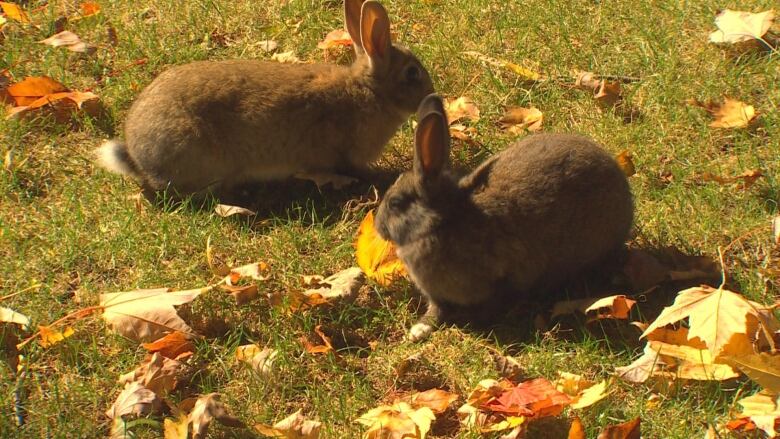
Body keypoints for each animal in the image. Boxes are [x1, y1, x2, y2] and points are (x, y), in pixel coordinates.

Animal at [374, 94, 636, 342]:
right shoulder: (437, 294)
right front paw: (419, 329)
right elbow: (436, 310)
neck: (442, 221)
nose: (378, 227)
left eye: (395, 203)